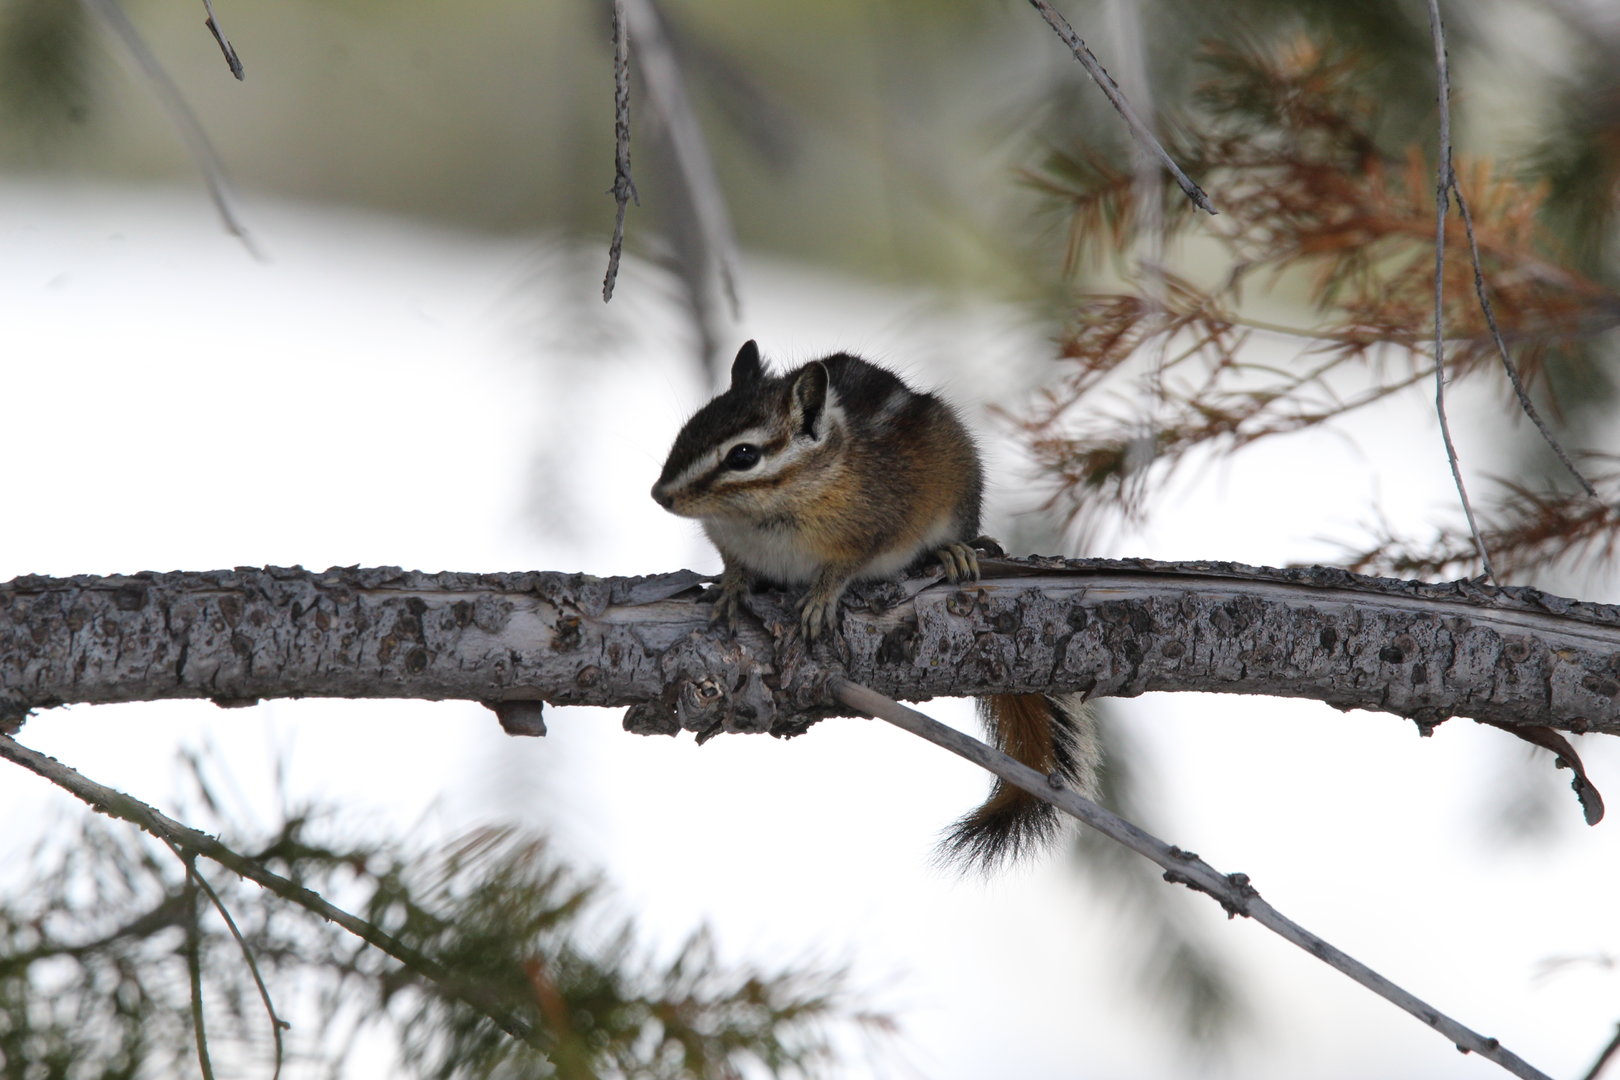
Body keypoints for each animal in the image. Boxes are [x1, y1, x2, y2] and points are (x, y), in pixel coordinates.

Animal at [651, 340, 1101, 870]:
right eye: (691, 426)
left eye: (743, 455)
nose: (659, 494)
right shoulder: (733, 543)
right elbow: (736, 566)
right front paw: (729, 588)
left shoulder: (873, 529)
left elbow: (842, 569)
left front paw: (820, 600)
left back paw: (952, 552)